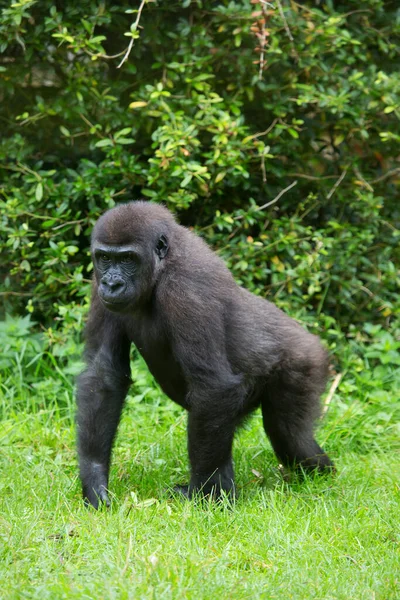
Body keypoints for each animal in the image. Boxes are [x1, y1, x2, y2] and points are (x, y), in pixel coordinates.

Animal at [76, 200, 332, 506]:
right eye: (105, 258)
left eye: (127, 259)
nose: (112, 284)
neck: (162, 265)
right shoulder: (96, 282)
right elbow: (102, 375)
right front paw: (94, 481)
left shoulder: (187, 290)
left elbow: (213, 385)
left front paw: (202, 493)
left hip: (305, 362)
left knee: (290, 437)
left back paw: (321, 473)